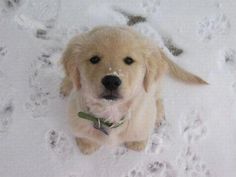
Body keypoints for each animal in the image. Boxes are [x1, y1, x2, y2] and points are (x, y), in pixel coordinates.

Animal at [60, 25, 207, 154]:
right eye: (94, 59)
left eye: (129, 60)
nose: (111, 81)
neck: (111, 112)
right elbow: (84, 136)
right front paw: (87, 145)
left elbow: (140, 135)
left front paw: (137, 144)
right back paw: (66, 85)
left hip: (155, 83)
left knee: (158, 97)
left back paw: (159, 115)